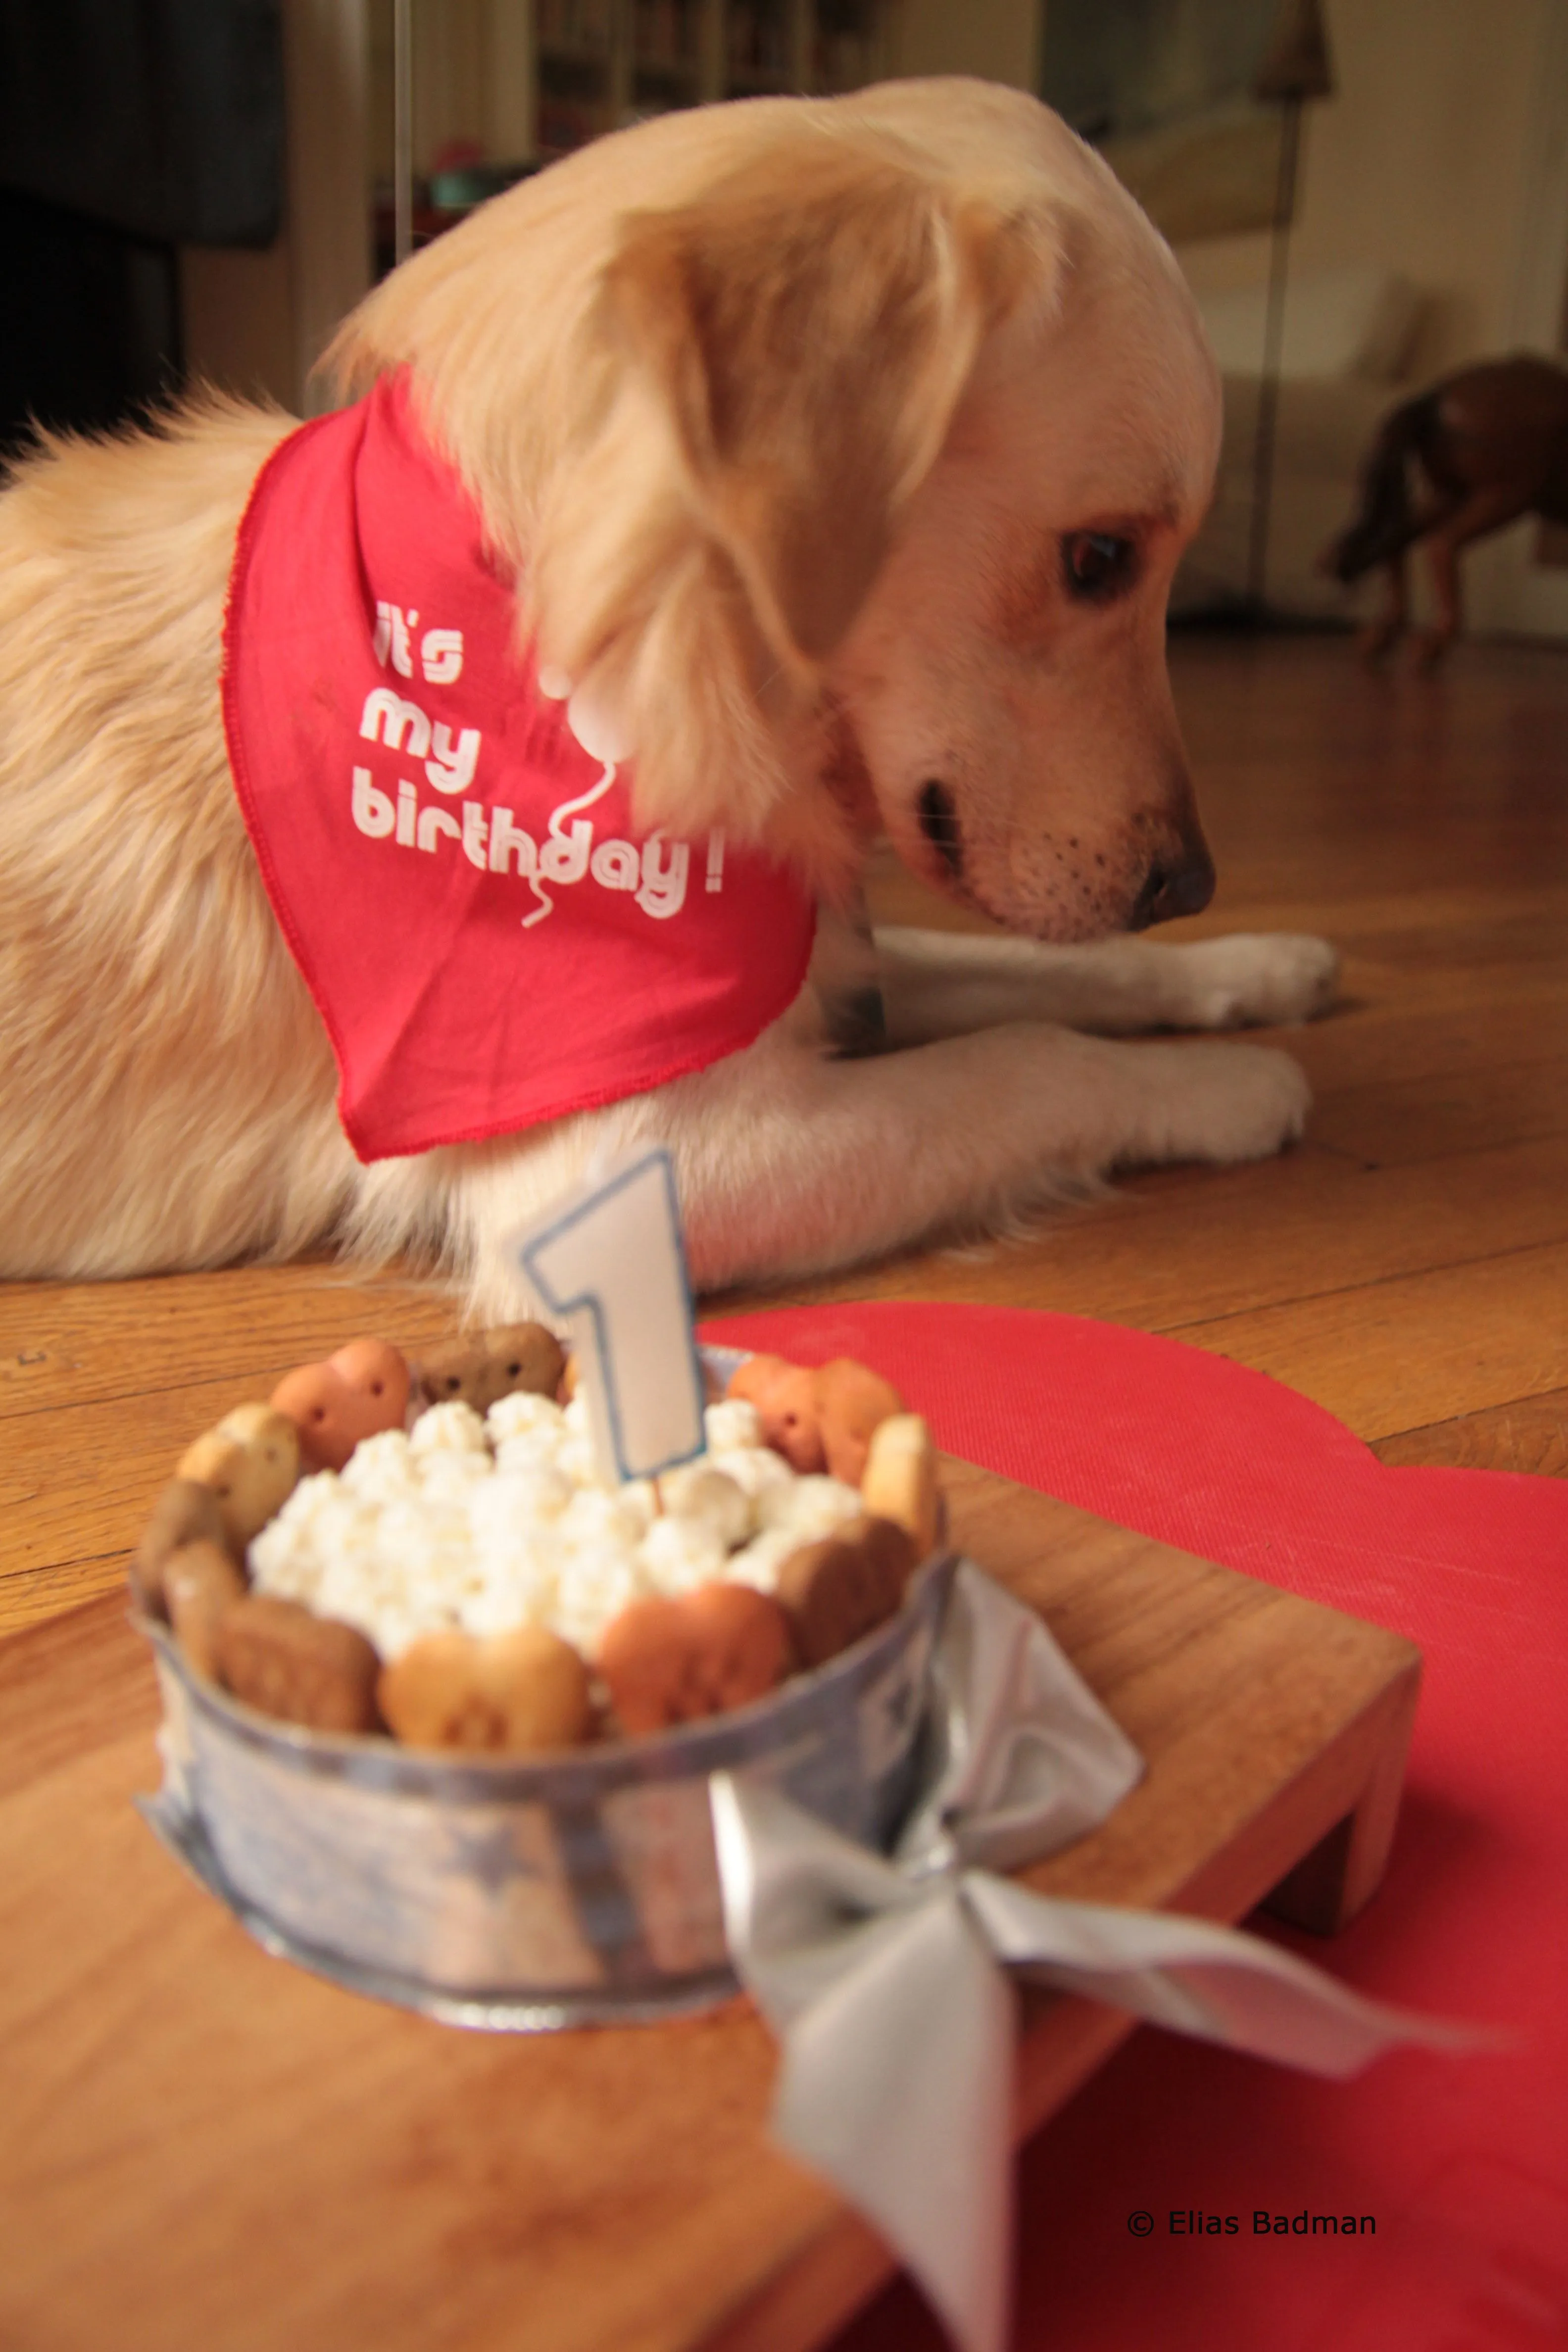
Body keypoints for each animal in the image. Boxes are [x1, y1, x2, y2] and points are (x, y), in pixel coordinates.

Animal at [0, 83, 1335, 1317]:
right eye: (1102, 556)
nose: (1189, 884)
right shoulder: (639, 1160)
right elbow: (1035, 1055)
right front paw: (1234, 1086)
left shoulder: (812, 954)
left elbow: (1049, 974)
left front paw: (1253, 964)